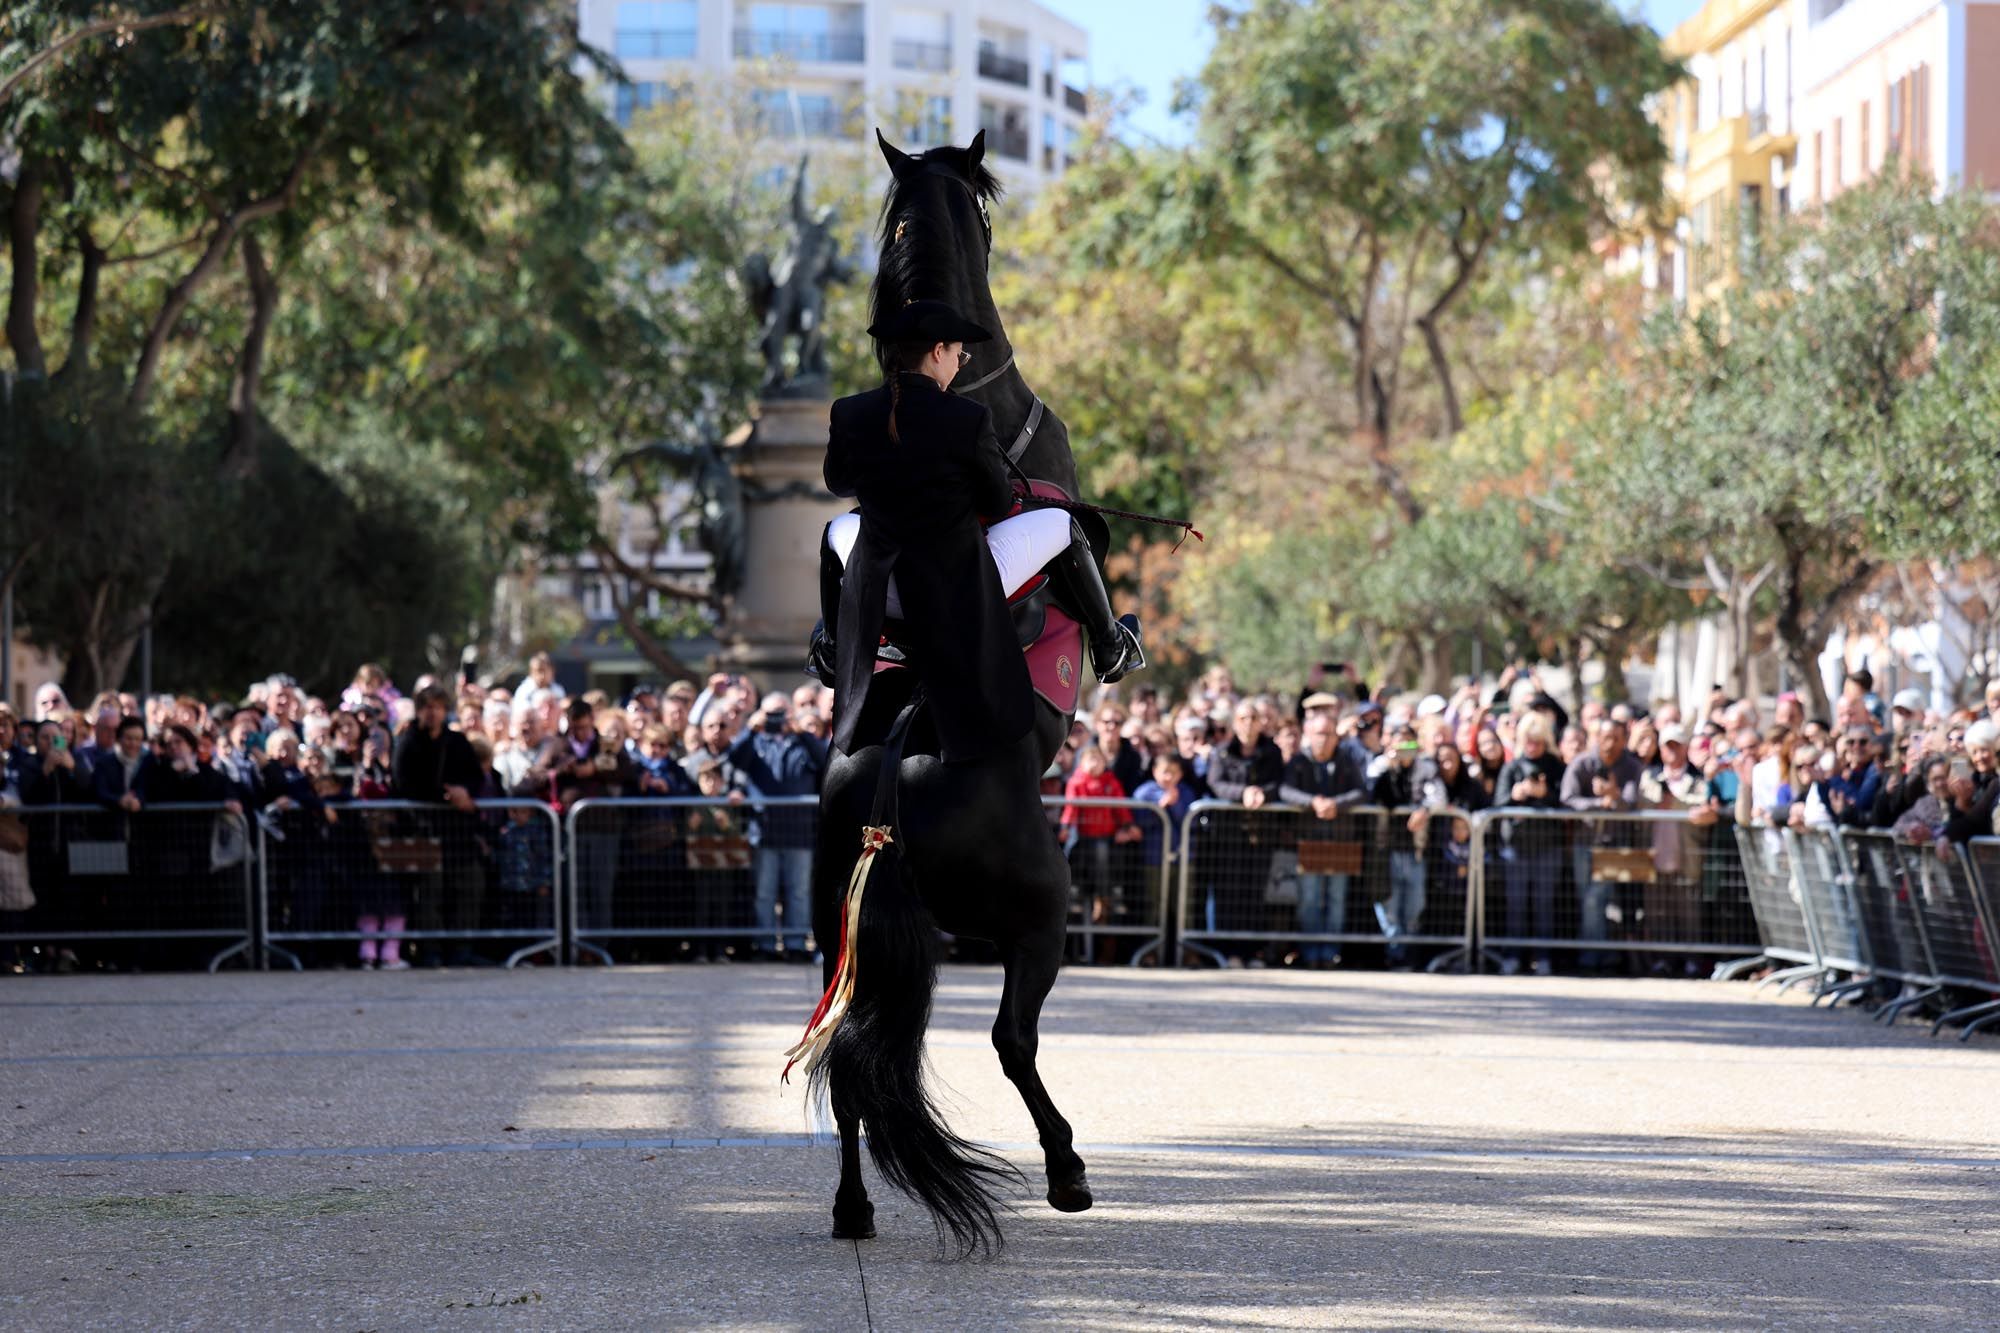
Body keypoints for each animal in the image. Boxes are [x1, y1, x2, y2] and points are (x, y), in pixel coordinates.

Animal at [808, 130, 1096, 1248]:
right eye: (986, 203)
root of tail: (895, 770)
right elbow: (1078, 533)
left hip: (843, 933)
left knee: (849, 1062)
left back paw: (851, 1206)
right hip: (1035, 917)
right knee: (1012, 1039)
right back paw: (1066, 1168)